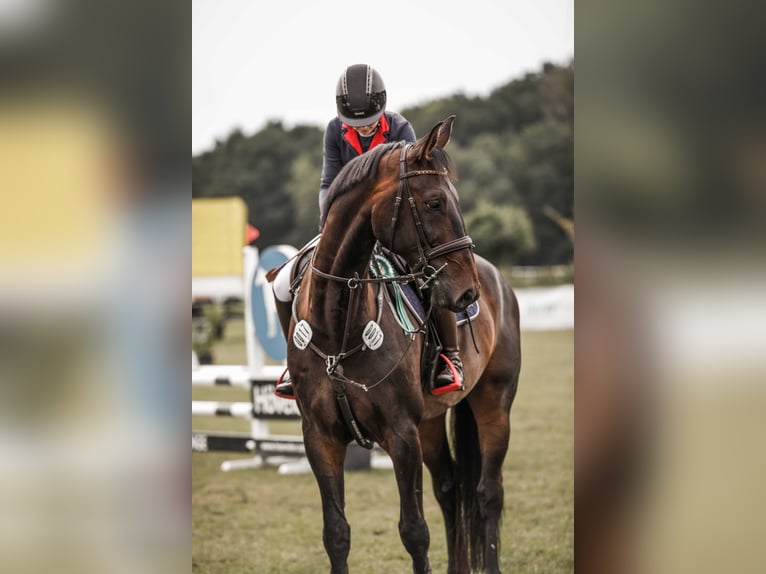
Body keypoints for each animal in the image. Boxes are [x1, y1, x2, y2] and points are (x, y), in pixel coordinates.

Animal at [283, 116, 521, 574]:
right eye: (434, 203)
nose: (467, 294)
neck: (338, 326)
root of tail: (494, 277)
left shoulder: (401, 434)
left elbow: (414, 532)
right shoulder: (319, 437)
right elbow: (336, 534)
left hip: (493, 405)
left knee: (488, 493)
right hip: (430, 421)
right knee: (449, 488)